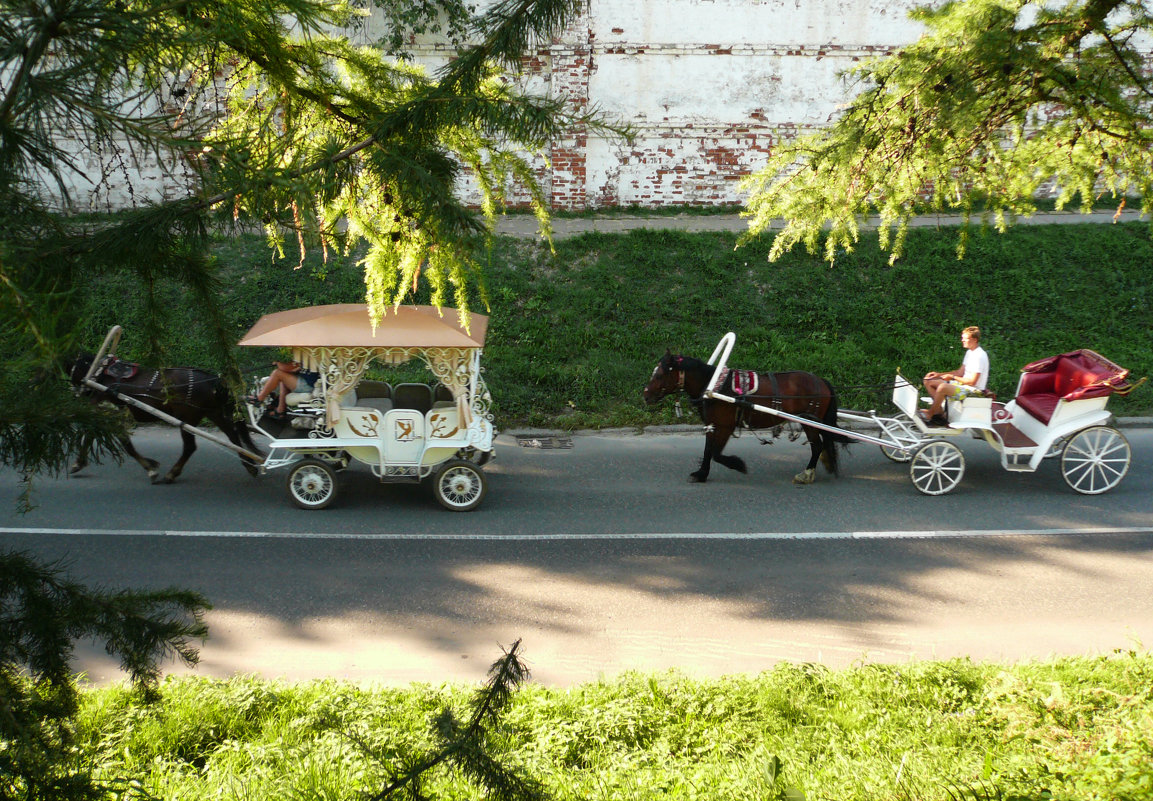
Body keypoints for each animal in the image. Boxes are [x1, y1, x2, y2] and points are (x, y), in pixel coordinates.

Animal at [69, 354, 264, 481]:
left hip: (187, 417)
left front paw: (151, 468)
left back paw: (172, 473)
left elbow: (127, 446)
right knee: (233, 435)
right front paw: (78, 463)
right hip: (212, 412)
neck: (99, 376)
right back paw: (249, 465)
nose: (76, 392)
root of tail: (212, 379)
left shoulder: (111, 415)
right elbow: (90, 436)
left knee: (190, 447)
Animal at [645, 352, 853, 488]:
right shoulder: (712, 425)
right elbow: (707, 451)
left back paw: (807, 474)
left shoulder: (726, 426)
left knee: (817, 445)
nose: (645, 395)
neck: (716, 387)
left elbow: (716, 453)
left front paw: (739, 465)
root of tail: (822, 381)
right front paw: (702, 474)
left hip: (809, 421)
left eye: (660, 374)